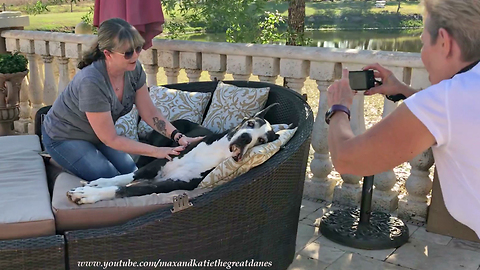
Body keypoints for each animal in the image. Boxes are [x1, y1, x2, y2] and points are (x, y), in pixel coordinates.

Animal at [65, 104, 280, 205]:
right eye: (250, 123)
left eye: (262, 140)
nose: (245, 138)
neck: (216, 151)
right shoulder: (158, 164)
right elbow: (124, 177)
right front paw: (98, 183)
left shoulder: (168, 185)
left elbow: (124, 188)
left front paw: (89, 194)